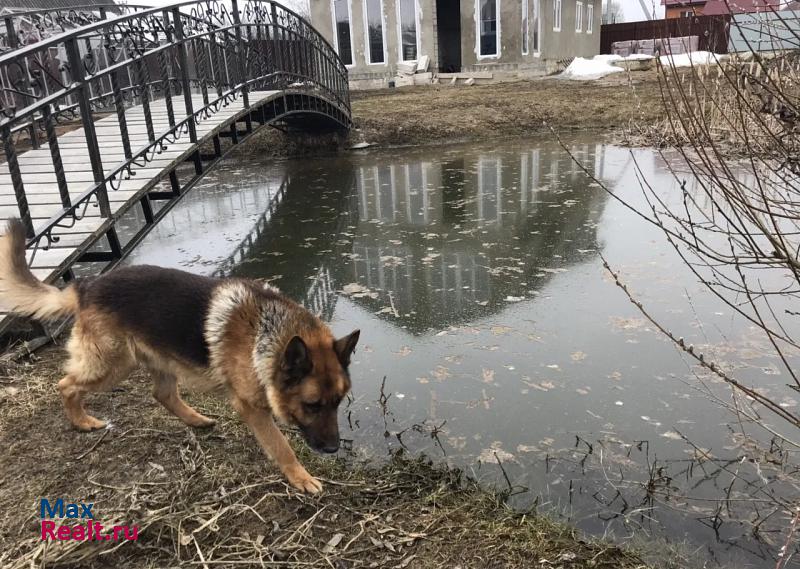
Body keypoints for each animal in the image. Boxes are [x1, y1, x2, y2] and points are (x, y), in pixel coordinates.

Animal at [0, 217, 360, 492]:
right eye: (312, 405)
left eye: (338, 403)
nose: (333, 448)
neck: (269, 333)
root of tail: (87, 286)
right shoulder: (252, 408)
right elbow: (281, 446)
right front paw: (300, 476)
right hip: (113, 364)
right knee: (66, 385)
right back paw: (83, 421)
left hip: (157, 360)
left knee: (162, 394)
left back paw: (196, 420)